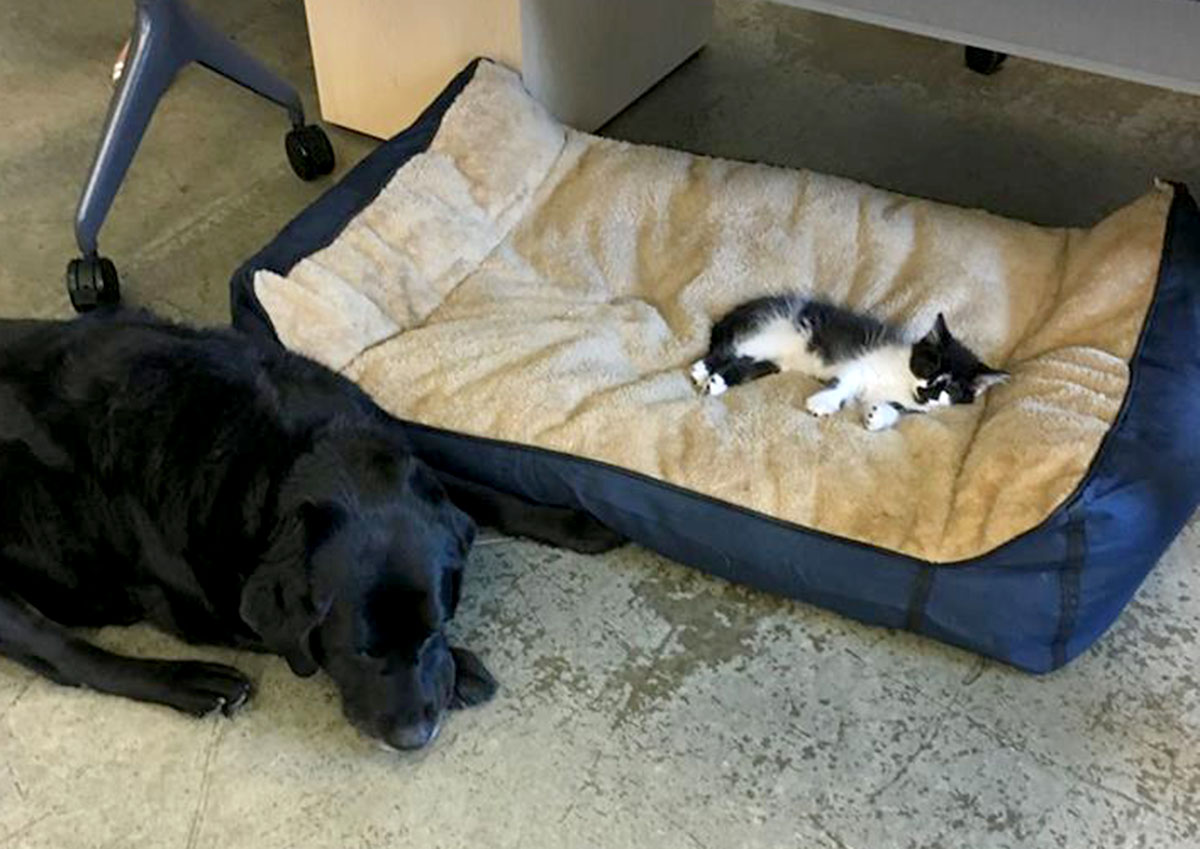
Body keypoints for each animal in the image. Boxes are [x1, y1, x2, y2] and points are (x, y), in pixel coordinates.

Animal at [0, 314, 619, 748]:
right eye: (361, 651)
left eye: (433, 629)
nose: (414, 739)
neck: (288, 452)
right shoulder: (200, 605)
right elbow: (292, 643)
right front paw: (463, 667)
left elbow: (476, 487)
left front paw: (572, 521)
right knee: (62, 655)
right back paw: (192, 683)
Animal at [691, 297, 1008, 431]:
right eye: (930, 366)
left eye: (951, 388)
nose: (928, 390)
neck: (901, 380)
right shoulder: (861, 364)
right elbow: (843, 385)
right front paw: (824, 403)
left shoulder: (912, 406)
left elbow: (896, 410)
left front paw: (877, 417)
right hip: (771, 332)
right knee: (731, 348)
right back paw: (703, 369)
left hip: (773, 358)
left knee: (747, 364)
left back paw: (716, 381)